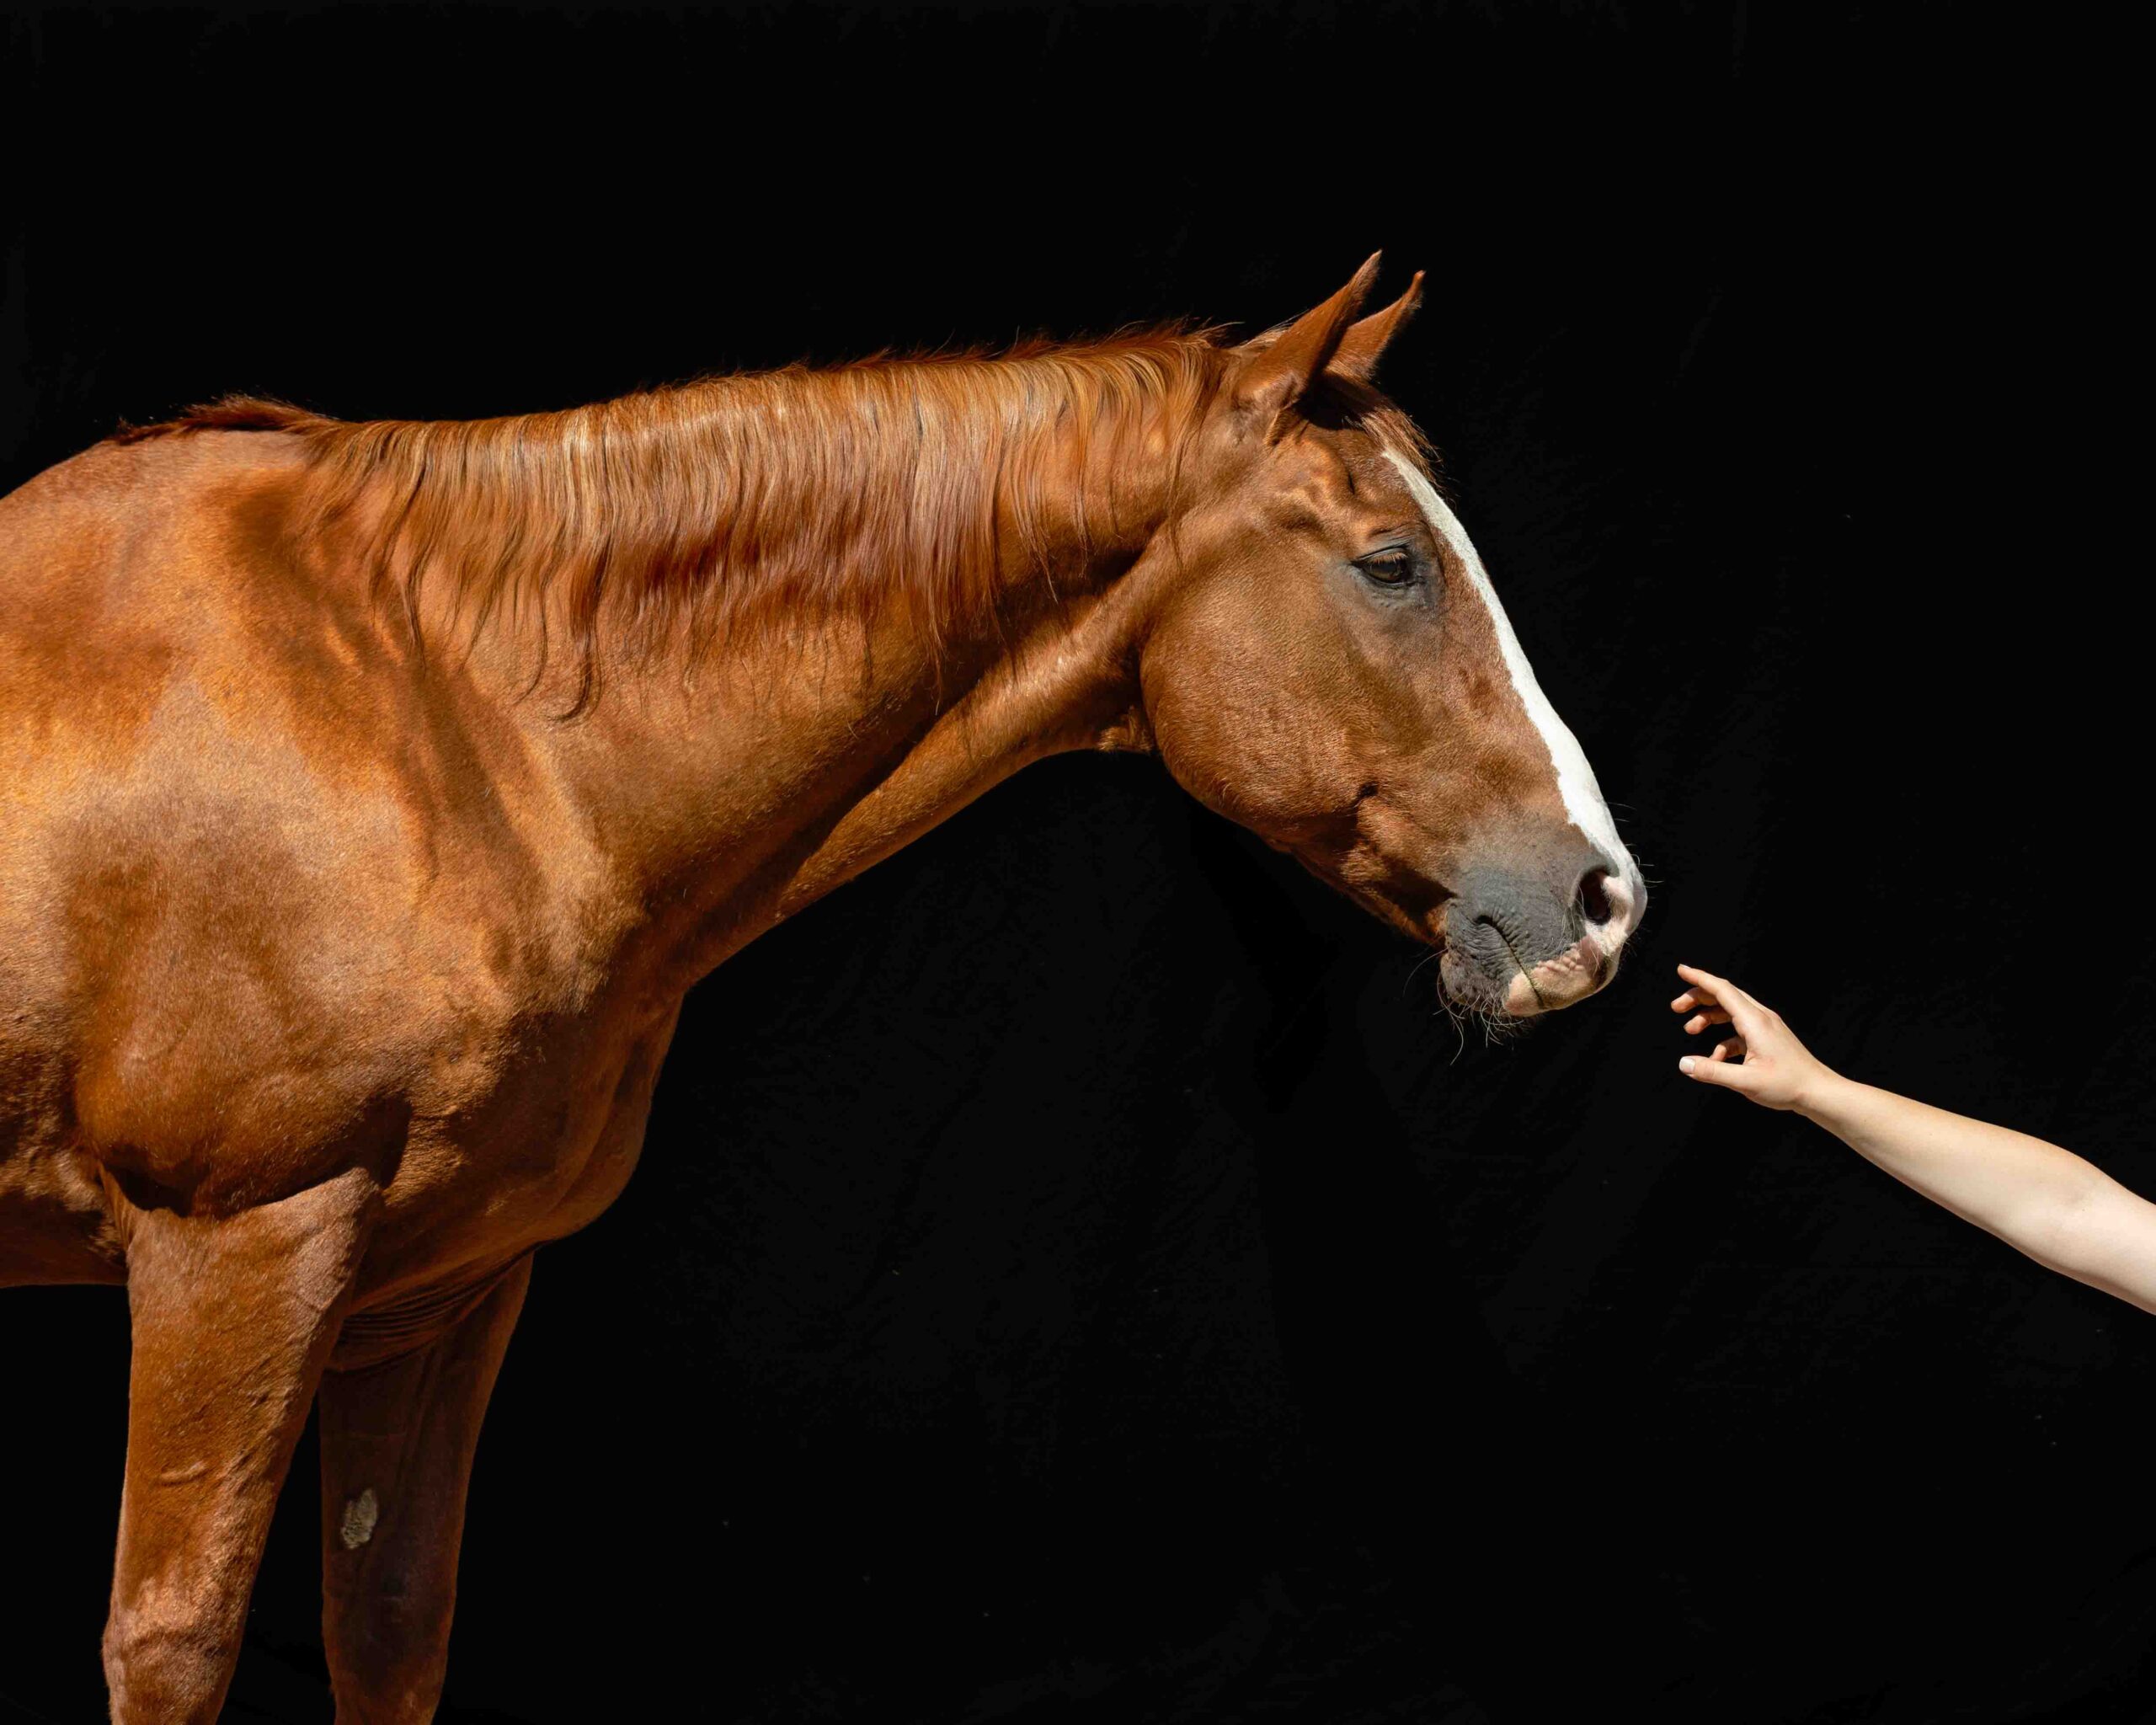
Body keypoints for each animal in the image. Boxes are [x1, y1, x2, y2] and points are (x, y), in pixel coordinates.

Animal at [0, 255, 1644, 1723]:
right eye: (1391, 562)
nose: (1600, 897)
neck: (428, 717)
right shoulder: (239, 1257)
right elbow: (173, 1646)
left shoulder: (440, 1290)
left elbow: (388, 1627)